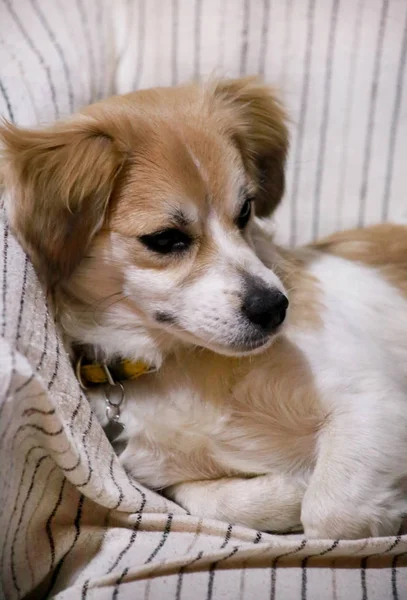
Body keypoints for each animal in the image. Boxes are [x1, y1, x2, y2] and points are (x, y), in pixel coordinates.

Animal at [0, 77, 407, 540]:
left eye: (245, 210)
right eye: (165, 239)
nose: (274, 308)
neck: (180, 364)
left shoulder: (374, 398)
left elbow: (329, 512)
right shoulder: (166, 473)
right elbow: (211, 500)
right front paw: (287, 490)